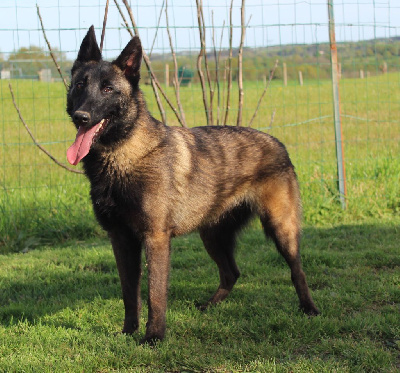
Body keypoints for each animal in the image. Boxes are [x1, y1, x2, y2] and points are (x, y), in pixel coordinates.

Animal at [67, 24, 320, 342]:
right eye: (79, 85)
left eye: (108, 89)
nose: (81, 117)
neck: (123, 156)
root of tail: (278, 143)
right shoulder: (121, 239)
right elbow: (129, 294)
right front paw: (128, 332)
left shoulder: (155, 239)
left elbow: (155, 294)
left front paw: (154, 337)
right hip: (212, 235)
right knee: (231, 273)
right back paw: (210, 306)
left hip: (281, 229)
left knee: (297, 270)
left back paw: (309, 308)